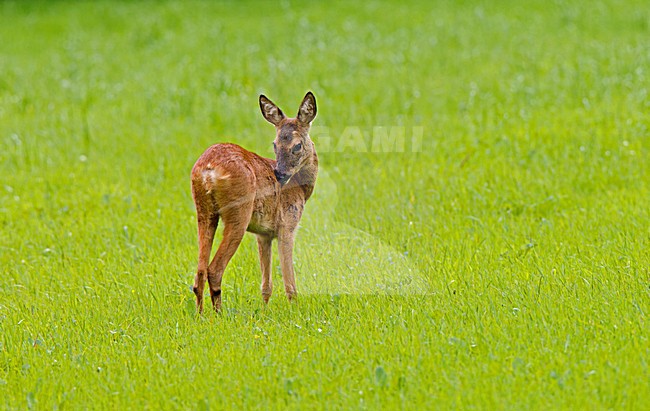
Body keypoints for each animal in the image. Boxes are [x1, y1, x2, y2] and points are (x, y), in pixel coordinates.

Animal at [190, 92, 318, 313]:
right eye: (275, 144)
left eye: (297, 145)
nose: (279, 174)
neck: (301, 188)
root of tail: (208, 170)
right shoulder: (288, 225)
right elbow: (290, 283)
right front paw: (295, 311)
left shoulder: (263, 234)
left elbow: (266, 285)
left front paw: (264, 311)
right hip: (238, 213)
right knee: (214, 270)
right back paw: (219, 315)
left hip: (204, 211)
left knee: (199, 272)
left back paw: (200, 315)